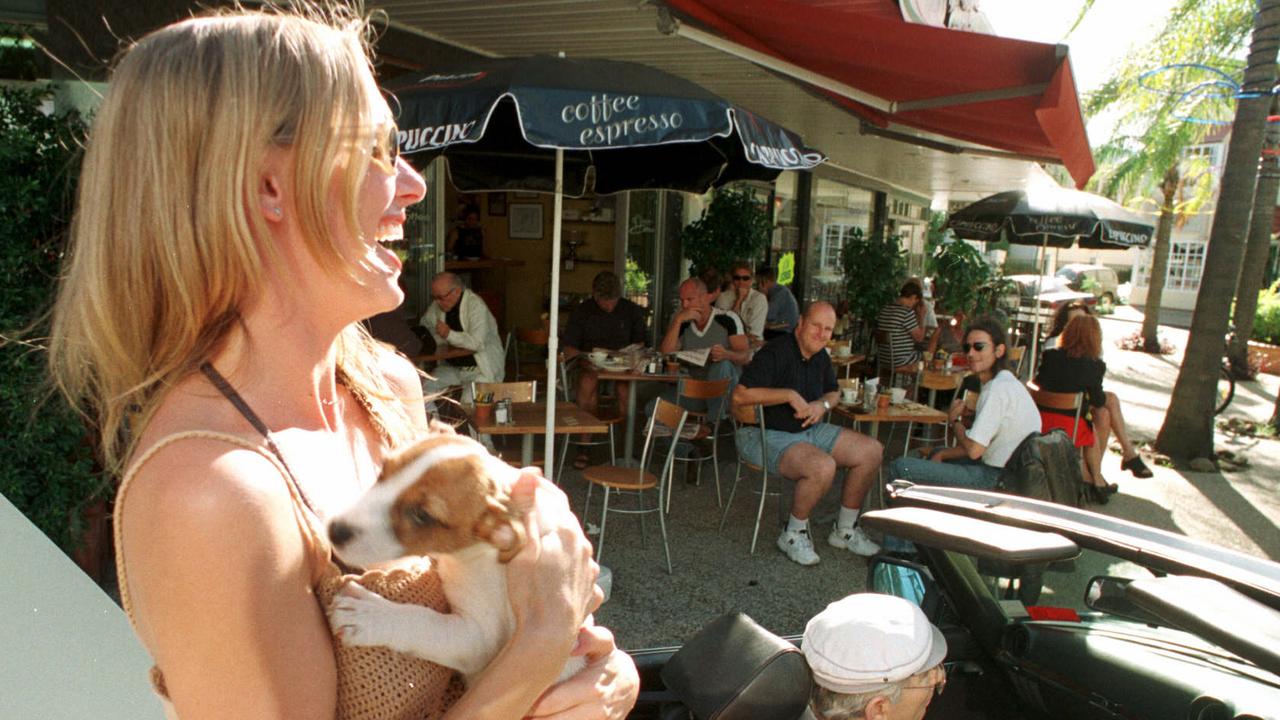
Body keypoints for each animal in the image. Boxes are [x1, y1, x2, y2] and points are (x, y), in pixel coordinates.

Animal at [330, 427, 588, 681]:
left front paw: (368, 614)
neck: (471, 554)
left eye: (423, 515)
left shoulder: (480, 638)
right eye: (383, 471)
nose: (334, 531)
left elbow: (422, 620)